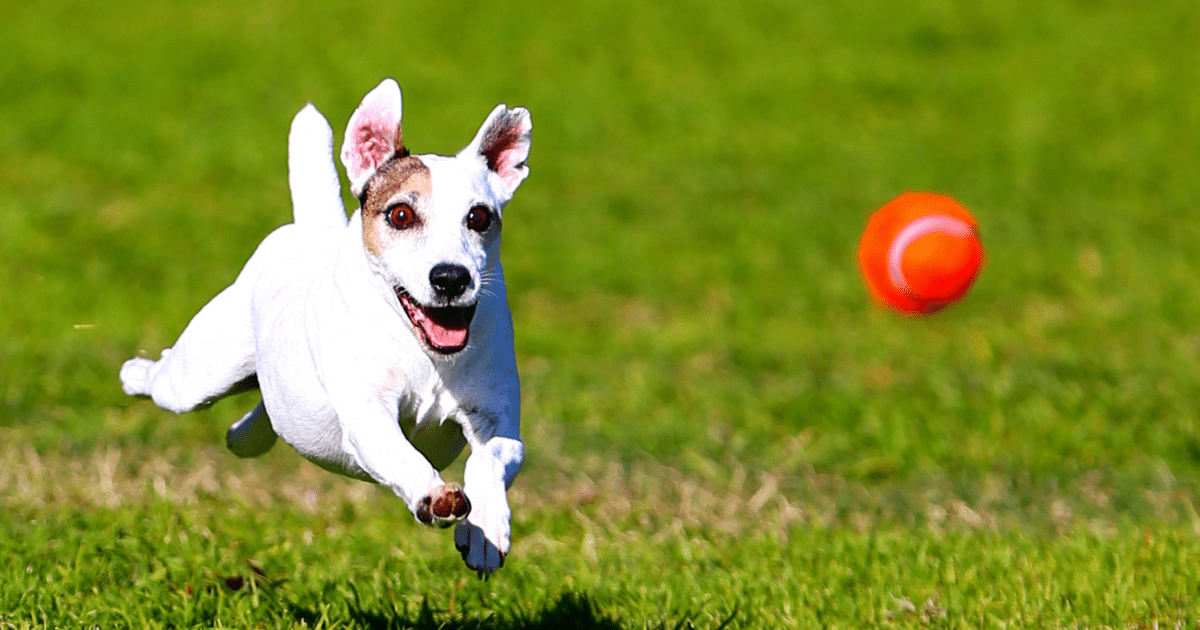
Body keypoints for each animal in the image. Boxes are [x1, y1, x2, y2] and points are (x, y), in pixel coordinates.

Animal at [120, 78, 530, 573]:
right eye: (400, 215)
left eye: (479, 217)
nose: (451, 277)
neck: (424, 352)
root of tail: (312, 229)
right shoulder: (369, 413)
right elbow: (400, 452)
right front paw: (435, 495)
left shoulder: (495, 417)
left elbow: (491, 460)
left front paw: (485, 531)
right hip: (200, 375)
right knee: (167, 377)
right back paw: (134, 373)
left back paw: (244, 437)